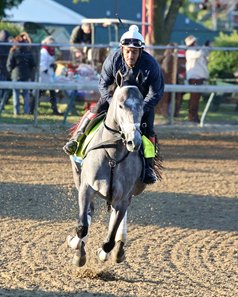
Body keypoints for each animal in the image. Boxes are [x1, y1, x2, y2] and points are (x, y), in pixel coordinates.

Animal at [66, 70, 161, 266]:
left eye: (141, 107)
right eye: (120, 105)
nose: (134, 141)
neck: (112, 155)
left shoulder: (123, 196)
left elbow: (109, 240)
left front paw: (105, 252)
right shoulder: (86, 187)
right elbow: (82, 226)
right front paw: (79, 253)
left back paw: (119, 246)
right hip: (78, 176)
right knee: (89, 212)